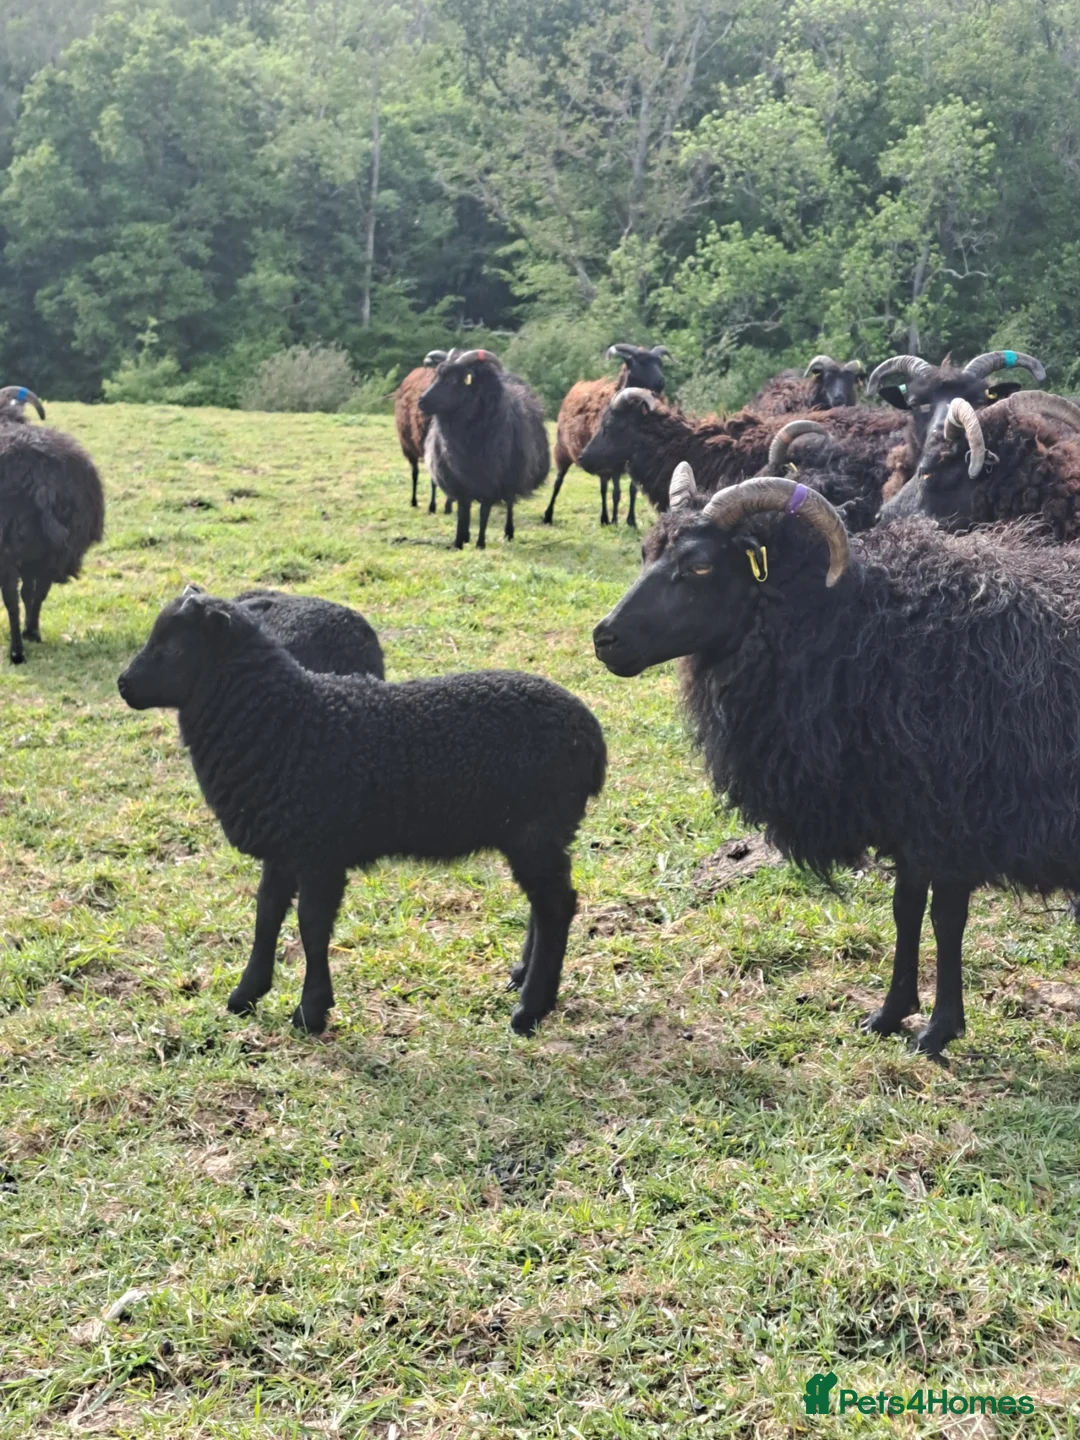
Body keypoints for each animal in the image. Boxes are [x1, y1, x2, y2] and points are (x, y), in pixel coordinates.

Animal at [0, 386, 105, 664]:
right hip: (53, 548)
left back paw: (20, 646)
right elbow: (30, 592)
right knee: (35, 592)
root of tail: (40, 480)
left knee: (13, 596)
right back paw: (28, 637)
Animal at [117, 589, 606, 1035]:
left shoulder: (320, 852)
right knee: (543, 905)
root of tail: (590, 736)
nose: (123, 684)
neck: (287, 721)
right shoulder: (284, 847)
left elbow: (311, 927)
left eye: (173, 646)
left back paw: (530, 1010)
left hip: (535, 829)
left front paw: (310, 1012)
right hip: (533, 833)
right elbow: (266, 916)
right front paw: (246, 994)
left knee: (557, 905)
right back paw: (522, 978)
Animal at [419, 349, 550, 549]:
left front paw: (480, 544)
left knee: (510, 503)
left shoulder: (490, 481)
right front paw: (459, 541)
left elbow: (484, 513)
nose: (421, 401)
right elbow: (462, 513)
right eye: (436, 376)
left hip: (514, 474)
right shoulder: (459, 482)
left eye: (453, 380)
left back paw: (509, 532)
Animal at [545, 343, 670, 528]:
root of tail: (577, 387)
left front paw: (631, 521)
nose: (661, 382)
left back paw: (604, 518)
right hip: (564, 450)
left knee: (603, 488)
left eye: (660, 363)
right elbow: (616, 492)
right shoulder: (614, 462)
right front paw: (616, 521)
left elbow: (632, 490)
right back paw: (548, 515)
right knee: (558, 482)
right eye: (639, 362)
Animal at [593, 463, 1080, 1057]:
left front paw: (939, 1029)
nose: (604, 638)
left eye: (699, 565)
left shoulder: (949, 822)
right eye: (647, 551)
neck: (860, 629)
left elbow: (946, 919)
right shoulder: (903, 818)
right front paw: (891, 1013)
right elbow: (904, 909)